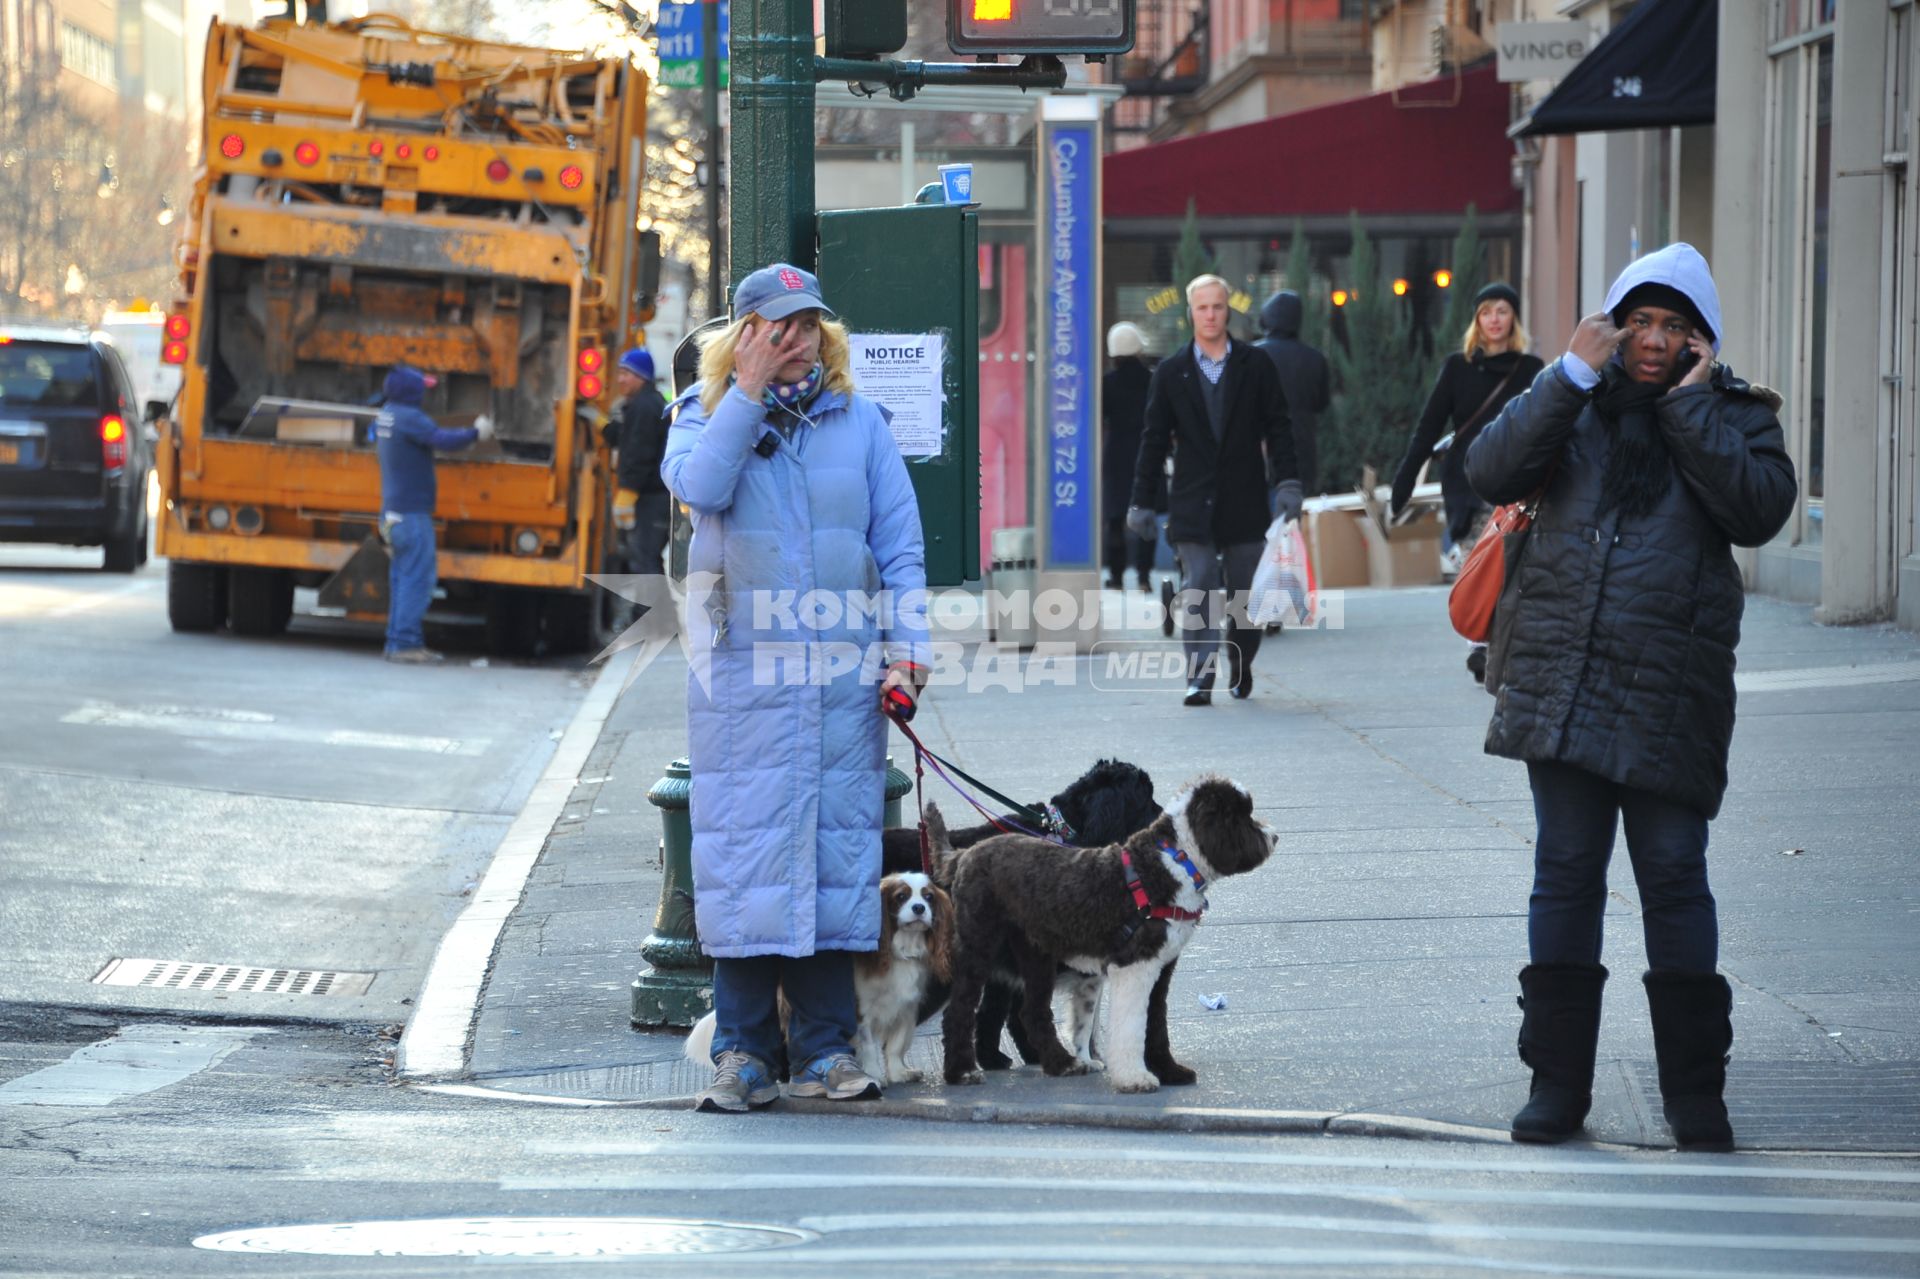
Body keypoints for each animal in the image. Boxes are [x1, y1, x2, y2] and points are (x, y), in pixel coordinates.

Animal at [933, 775, 1274, 1098]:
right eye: (1243, 816)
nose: (1274, 836)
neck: (1175, 862)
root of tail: (965, 854)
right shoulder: (1135, 965)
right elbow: (1131, 1026)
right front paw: (1135, 1078)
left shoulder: (1161, 968)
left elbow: (1155, 1024)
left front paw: (1168, 1071)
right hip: (980, 946)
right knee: (959, 1010)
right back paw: (962, 1071)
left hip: (1035, 953)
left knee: (1031, 1012)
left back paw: (1063, 1063)